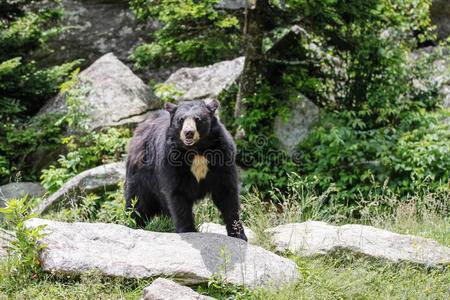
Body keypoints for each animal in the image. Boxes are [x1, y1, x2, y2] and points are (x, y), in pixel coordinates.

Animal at [125, 99, 248, 240]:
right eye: (181, 120)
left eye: (198, 119)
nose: (188, 132)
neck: (197, 150)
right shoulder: (170, 160)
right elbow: (177, 193)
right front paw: (188, 230)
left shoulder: (222, 156)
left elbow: (227, 193)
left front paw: (238, 234)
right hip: (142, 172)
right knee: (137, 201)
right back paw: (132, 223)